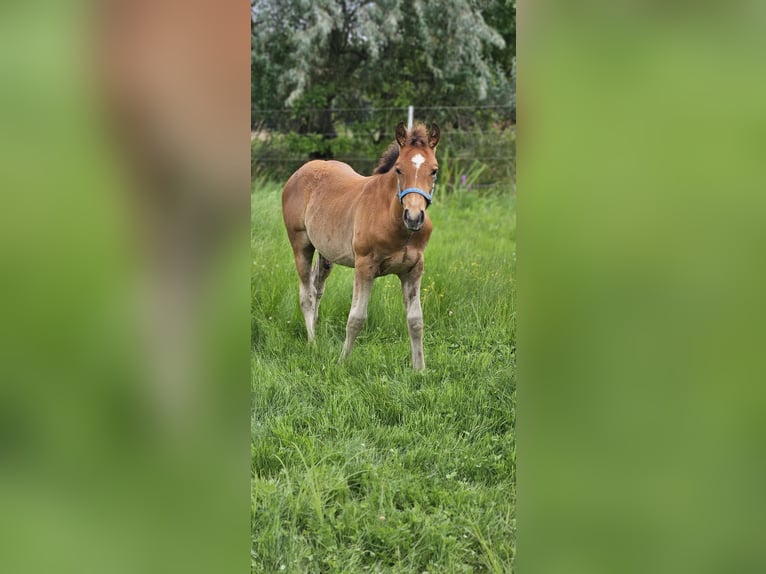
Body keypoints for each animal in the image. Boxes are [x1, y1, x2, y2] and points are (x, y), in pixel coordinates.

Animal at [282, 121, 440, 370]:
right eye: (398, 169)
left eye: (434, 170)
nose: (414, 217)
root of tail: (300, 171)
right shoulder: (364, 265)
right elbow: (356, 318)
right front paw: (342, 362)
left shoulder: (414, 268)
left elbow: (416, 321)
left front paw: (420, 369)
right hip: (301, 245)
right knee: (306, 294)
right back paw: (313, 344)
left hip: (326, 253)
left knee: (317, 287)